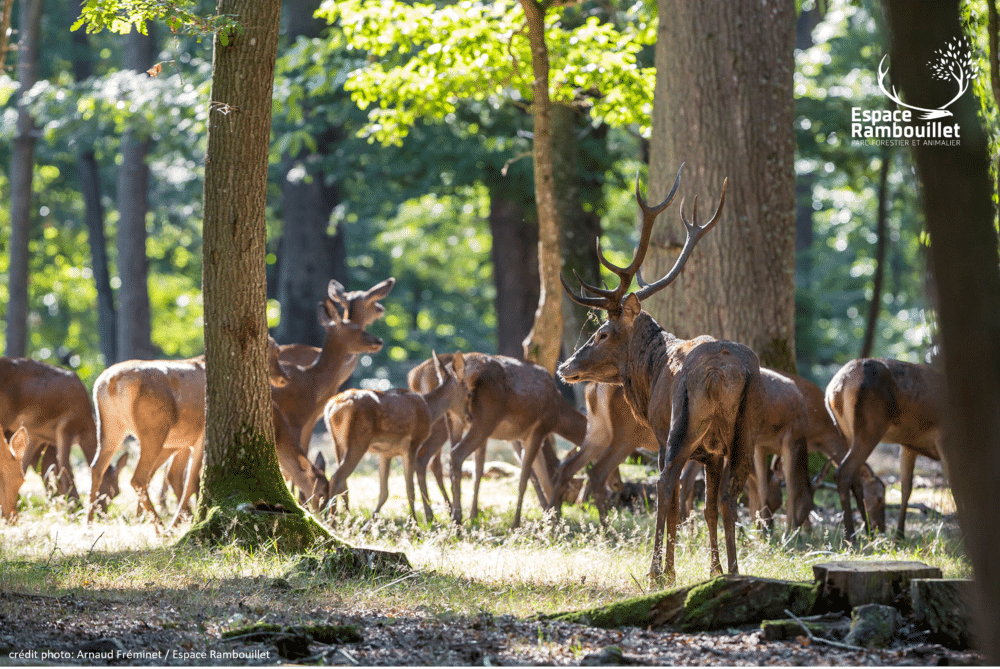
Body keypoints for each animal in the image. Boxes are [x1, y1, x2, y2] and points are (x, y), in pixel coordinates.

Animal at [0, 354, 121, 506]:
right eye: (112, 491)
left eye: (117, 493)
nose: (101, 511)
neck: (86, 424)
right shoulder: (65, 429)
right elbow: (65, 468)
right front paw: (74, 507)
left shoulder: (37, 435)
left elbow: (23, 466)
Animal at [326, 352, 470, 520]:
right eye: (469, 393)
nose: (469, 416)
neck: (429, 409)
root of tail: (332, 407)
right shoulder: (412, 445)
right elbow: (410, 490)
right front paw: (415, 523)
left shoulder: (385, 453)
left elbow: (384, 493)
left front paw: (371, 522)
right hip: (357, 442)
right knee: (336, 478)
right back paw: (332, 520)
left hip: (337, 444)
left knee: (341, 482)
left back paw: (338, 518)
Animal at [560, 168, 760, 584]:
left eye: (602, 333)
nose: (565, 366)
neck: (649, 375)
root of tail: (723, 372)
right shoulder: (712, 453)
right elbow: (707, 507)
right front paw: (714, 568)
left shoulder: (662, 431)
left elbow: (673, 501)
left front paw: (668, 571)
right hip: (747, 427)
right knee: (731, 493)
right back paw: (733, 570)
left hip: (680, 426)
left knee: (665, 485)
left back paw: (653, 571)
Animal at [824, 358, 940, 540]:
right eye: (879, 498)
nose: (881, 527)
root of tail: (834, 389)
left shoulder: (908, 446)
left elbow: (906, 488)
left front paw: (899, 535)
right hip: (870, 428)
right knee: (842, 473)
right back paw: (851, 537)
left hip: (847, 433)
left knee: (855, 478)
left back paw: (867, 533)